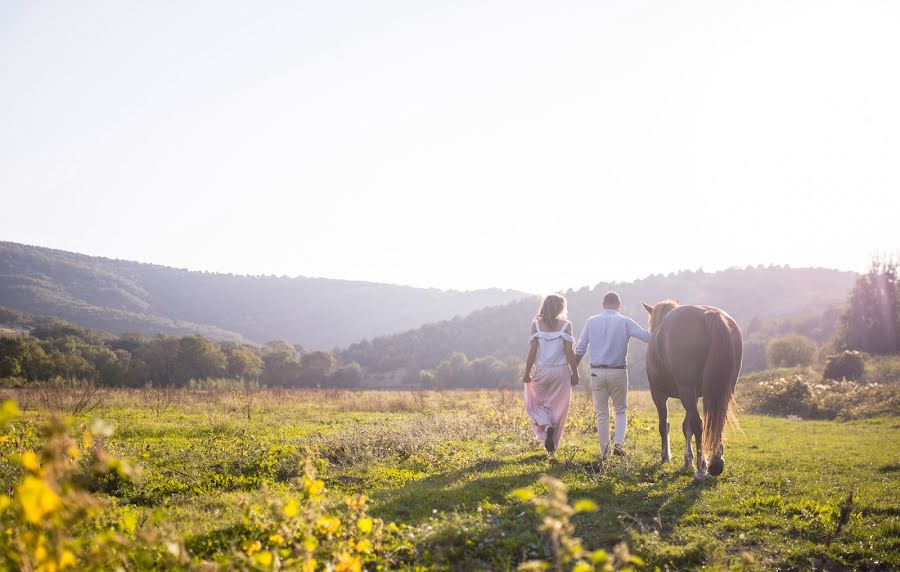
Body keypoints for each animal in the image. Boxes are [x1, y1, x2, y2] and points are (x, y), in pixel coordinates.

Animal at [644, 300, 740, 478]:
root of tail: (711, 315)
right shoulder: (693, 396)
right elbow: (685, 426)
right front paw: (687, 461)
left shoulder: (659, 395)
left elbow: (664, 425)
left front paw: (665, 456)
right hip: (724, 390)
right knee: (718, 421)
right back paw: (716, 461)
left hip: (685, 390)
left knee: (699, 424)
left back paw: (703, 466)